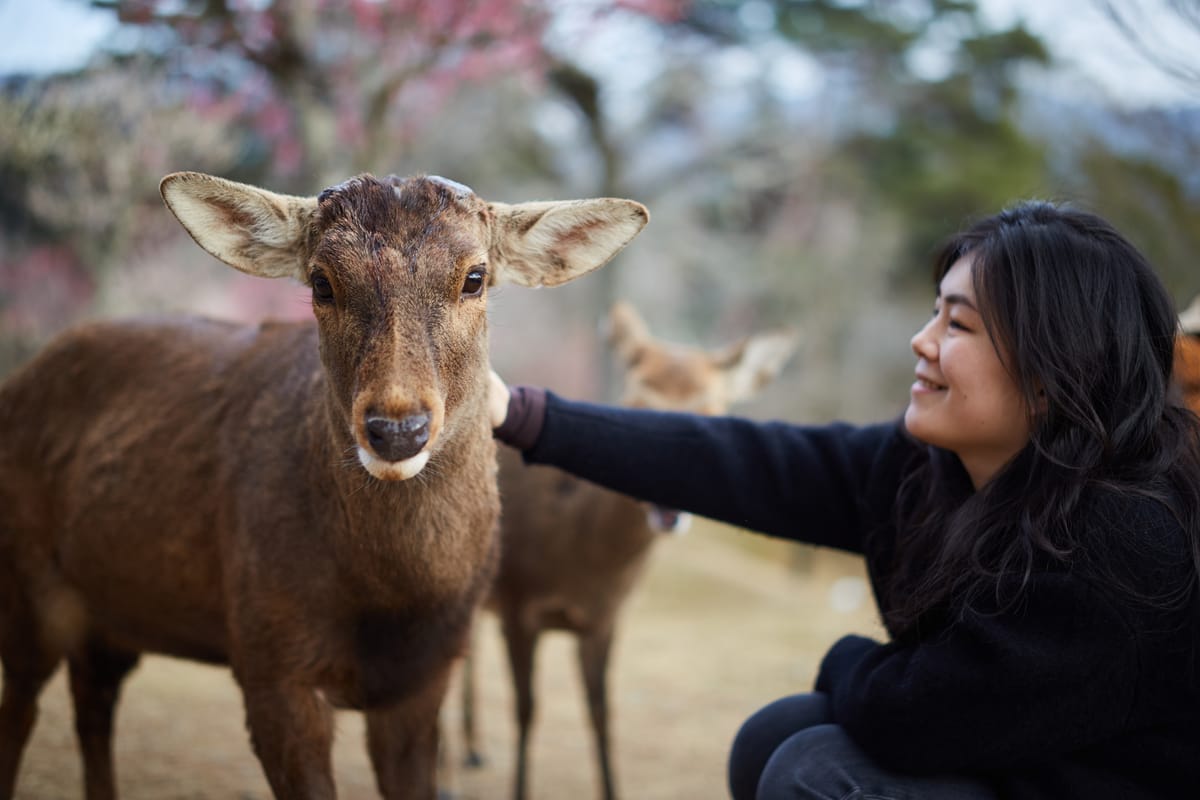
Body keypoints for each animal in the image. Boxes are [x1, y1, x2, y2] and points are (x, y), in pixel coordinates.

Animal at [0, 170, 648, 800]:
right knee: (24, 709)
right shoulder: (268, 660)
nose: (397, 429)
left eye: (475, 277)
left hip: (107, 615)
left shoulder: (428, 675)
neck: (389, 608)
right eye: (321, 282)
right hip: (28, 588)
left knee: (92, 704)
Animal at [463, 299, 801, 800]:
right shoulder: (518, 605)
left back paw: (472, 750)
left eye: (712, 407)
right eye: (639, 397)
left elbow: (602, 715)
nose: (668, 505)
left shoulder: (605, 618)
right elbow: (526, 709)